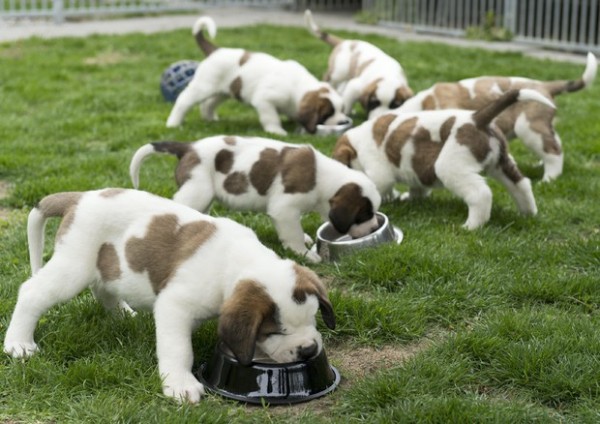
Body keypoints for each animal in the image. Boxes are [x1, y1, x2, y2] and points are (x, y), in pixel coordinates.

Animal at [3, 189, 338, 404]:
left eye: (313, 319)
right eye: (275, 331)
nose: (309, 350)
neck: (238, 260)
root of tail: (79, 198)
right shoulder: (174, 306)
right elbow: (179, 349)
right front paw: (180, 384)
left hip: (107, 265)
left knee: (103, 288)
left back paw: (122, 314)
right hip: (74, 267)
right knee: (31, 292)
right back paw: (18, 343)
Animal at [131, 136, 382, 264]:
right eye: (364, 214)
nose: (375, 228)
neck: (323, 178)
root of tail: (189, 147)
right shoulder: (285, 209)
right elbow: (292, 234)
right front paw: (304, 253)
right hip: (198, 189)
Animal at [165, 15, 352, 135]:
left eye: (342, 110)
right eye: (328, 113)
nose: (343, 122)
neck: (298, 89)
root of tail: (216, 50)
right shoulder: (265, 100)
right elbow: (271, 117)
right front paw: (277, 131)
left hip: (225, 90)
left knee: (209, 104)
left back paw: (210, 119)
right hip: (203, 86)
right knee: (184, 100)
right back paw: (173, 123)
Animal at [330, 88, 556, 229]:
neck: (357, 143)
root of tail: (477, 118)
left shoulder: (378, 172)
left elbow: (379, 187)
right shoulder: (415, 170)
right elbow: (417, 187)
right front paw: (408, 198)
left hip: (451, 167)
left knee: (481, 194)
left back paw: (471, 226)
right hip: (500, 162)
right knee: (521, 183)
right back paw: (528, 212)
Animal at [396, 52, 596, 181]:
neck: (424, 103)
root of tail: (545, 86)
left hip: (528, 127)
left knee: (554, 151)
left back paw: (548, 179)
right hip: (542, 125)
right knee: (555, 143)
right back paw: (541, 165)